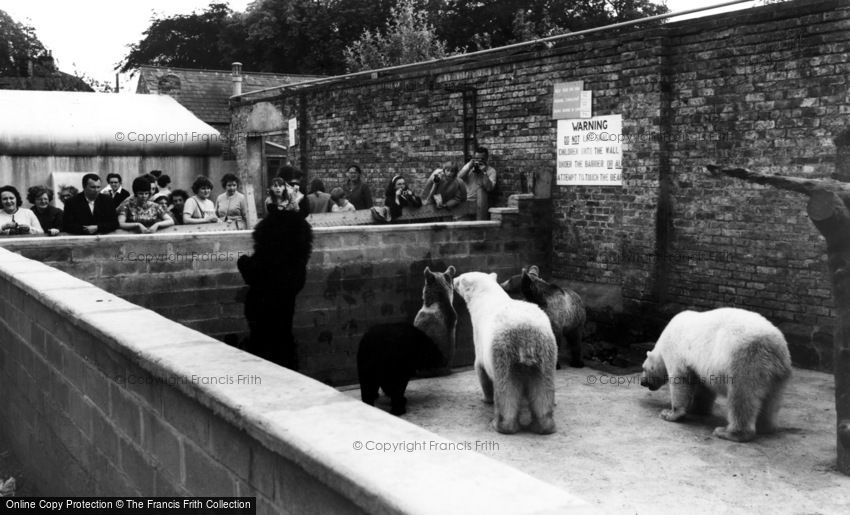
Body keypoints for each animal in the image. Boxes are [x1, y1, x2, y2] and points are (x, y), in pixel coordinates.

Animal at [450, 272, 556, 434]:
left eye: (461, 279)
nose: (453, 279)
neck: (486, 296)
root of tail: (526, 335)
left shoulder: (479, 339)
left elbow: (480, 369)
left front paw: (486, 398)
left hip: (503, 352)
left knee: (506, 389)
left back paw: (501, 425)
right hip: (545, 353)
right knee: (543, 388)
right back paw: (544, 426)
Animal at [640, 306, 792, 444]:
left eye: (644, 368)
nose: (642, 382)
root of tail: (776, 345)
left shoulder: (676, 350)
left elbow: (680, 380)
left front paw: (669, 413)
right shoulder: (700, 366)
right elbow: (704, 389)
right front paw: (697, 408)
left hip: (746, 358)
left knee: (741, 396)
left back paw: (728, 432)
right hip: (777, 374)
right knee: (771, 400)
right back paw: (764, 426)